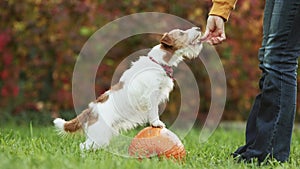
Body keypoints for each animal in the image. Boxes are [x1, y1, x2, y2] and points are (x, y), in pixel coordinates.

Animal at [54, 27, 204, 150]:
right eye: (181, 33)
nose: (198, 28)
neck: (159, 62)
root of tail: (91, 110)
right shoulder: (151, 95)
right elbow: (154, 111)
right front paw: (156, 123)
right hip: (99, 135)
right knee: (83, 147)